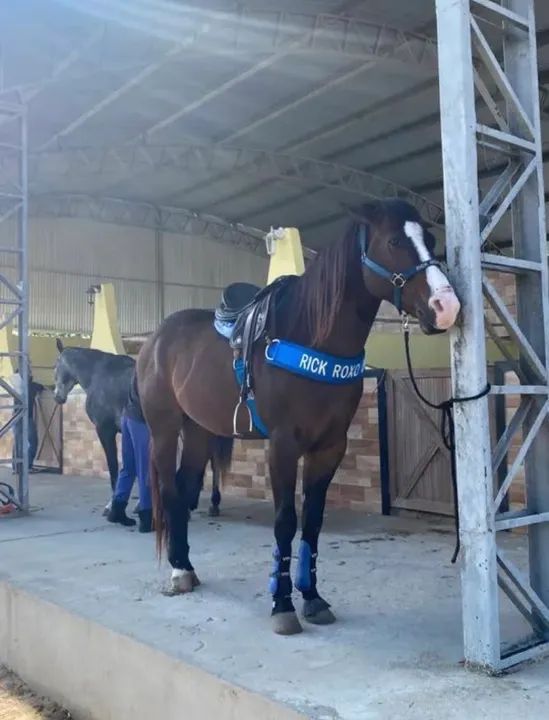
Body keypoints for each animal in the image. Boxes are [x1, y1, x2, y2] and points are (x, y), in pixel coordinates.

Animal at [52, 341, 229, 517]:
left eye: (56, 366)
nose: (57, 397)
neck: (98, 375)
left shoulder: (105, 430)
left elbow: (114, 467)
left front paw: (112, 505)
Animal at [137, 199, 461, 636]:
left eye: (429, 239)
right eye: (394, 241)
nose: (447, 307)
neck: (311, 337)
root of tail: (154, 339)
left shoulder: (330, 446)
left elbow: (313, 522)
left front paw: (312, 597)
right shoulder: (283, 445)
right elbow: (285, 522)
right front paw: (282, 605)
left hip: (200, 430)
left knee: (186, 487)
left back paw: (186, 566)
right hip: (165, 429)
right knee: (171, 492)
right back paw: (177, 571)